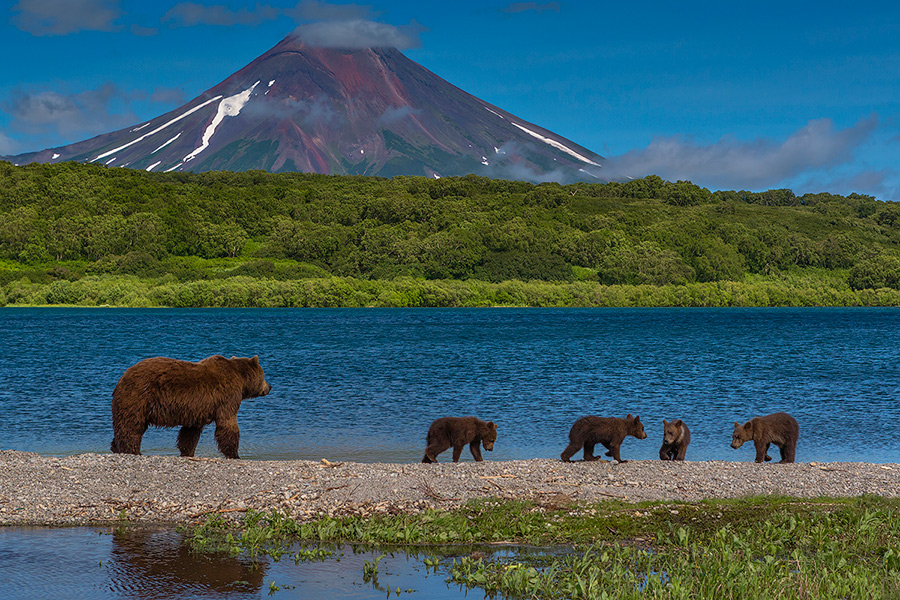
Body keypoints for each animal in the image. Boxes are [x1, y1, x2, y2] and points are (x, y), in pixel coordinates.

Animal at [110, 354, 270, 458]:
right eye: (264, 376)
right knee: (132, 426)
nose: (269, 387)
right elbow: (227, 424)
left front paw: (187, 452)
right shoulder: (227, 397)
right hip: (138, 397)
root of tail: (122, 377)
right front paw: (234, 454)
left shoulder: (197, 409)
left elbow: (190, 433)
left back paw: (115, 447)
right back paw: (133, 450)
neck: (241, 380)